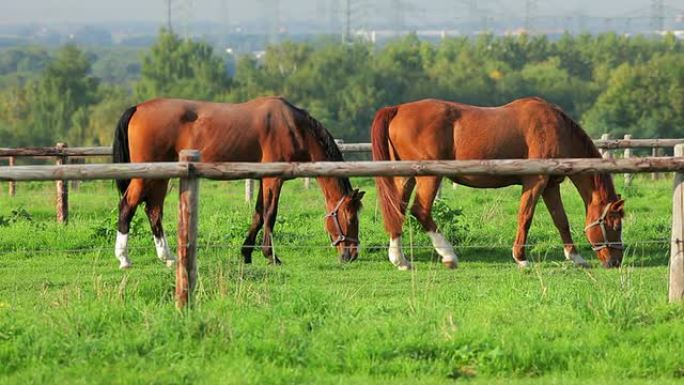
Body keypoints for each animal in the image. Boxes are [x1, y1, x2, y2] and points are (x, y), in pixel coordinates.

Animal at [113, 96, 364, 268]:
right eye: (350, 218)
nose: (352, 255)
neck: (292, 127)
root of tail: (137, 108)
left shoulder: (263, 179)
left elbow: (258, 214)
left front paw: (246, 253)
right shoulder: (274, 179)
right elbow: (270, 214)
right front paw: (271, 255)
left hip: (160, 176)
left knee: (153, 211)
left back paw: (168, 257)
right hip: (145, 176)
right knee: (127, 206)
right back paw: (124, 258)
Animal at [372, 97, 624, 268]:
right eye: (614, 224)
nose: (616, 261)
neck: (555, 128)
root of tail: (397, 109)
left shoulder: (551, 185)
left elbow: (560, 220)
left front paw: (575, 257)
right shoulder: (535, 181)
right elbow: (525, 217)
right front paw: (521, 258)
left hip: (405, 177)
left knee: (398, 210)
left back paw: (400, 259)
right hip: (429, 177)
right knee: (420, 210)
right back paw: (448, 254)